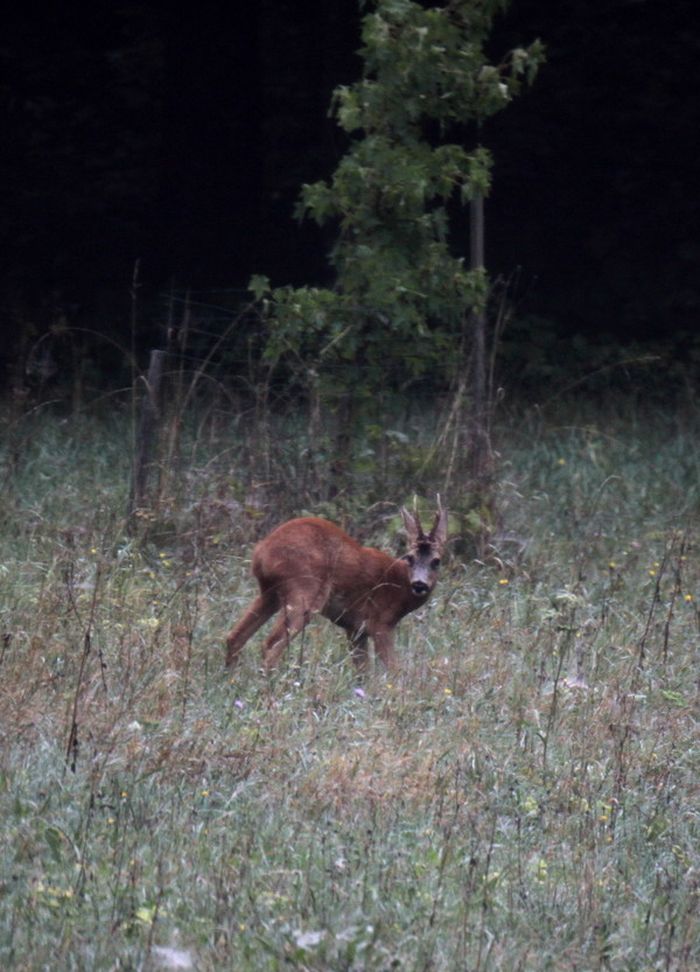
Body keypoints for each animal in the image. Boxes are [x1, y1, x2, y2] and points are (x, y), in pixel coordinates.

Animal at [227, 502, 452, 676]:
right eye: (410, 558)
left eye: (436, 561)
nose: (420, 584)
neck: (399, 588)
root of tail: (262, 551)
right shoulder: (381, 623)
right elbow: (393, 670)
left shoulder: (356, 629)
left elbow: (363, 673)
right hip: (304, 591)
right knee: (270, 644)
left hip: (270, 592)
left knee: (234, 636)